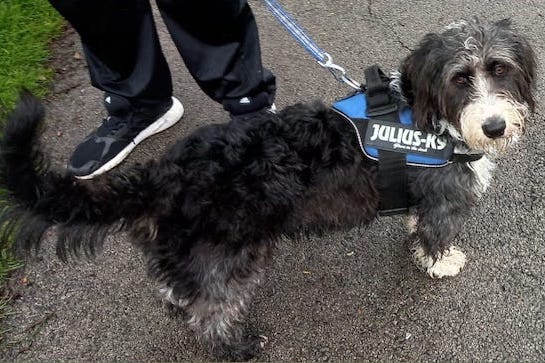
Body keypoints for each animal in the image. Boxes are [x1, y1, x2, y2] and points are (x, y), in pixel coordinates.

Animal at [0, 17, 536, 362]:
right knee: (212, 310)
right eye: (461, 78)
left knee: (176, 284)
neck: (429, 118)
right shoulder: (447, 199)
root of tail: (166, 172)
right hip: (228, 256)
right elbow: (438, 233)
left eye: (500, 69)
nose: (493, 127)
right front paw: (442, 262)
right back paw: (236, 347)